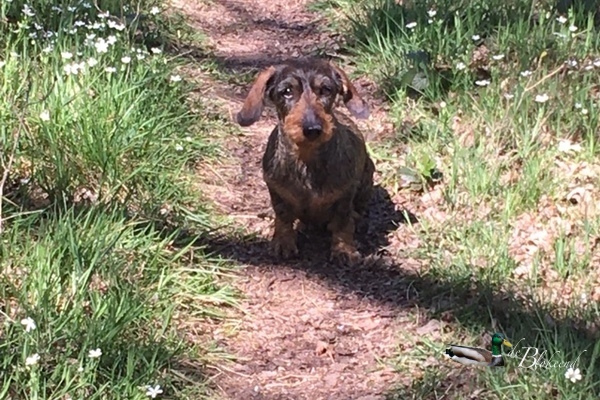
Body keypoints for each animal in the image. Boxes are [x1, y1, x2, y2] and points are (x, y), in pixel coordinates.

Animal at [236, 57, 372, 262]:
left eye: (326, 89)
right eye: (287, 91)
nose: (312, 129)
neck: (306, 160)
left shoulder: (345, 194)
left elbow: (342, 220)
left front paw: (343, 249)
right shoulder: (276, 191)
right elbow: (283, 217)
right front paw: (283, 242)